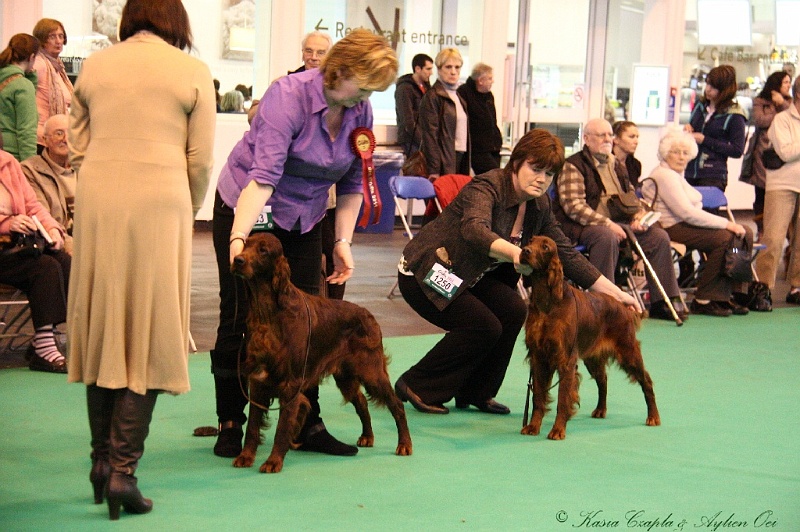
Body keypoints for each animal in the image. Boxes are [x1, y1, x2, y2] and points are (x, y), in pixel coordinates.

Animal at [228, 233, 410, 474]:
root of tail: (369, 314)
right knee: (361, 400)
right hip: (345, 375)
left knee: (396, 404)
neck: (267, 314)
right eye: (245, 244)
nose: (237, 260)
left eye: (263, 250)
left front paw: (273, 461)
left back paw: (405, 444)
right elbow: (252, 427)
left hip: (371, 371)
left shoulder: (291, 386)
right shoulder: (257, 382)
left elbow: (282, 428)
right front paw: (246, 456)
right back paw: (367, 436)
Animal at [516, 237, 660, 440]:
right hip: (593, 358)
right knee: (603, 379)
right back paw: (601, 410)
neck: (547, 303)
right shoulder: (538, 358)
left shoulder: (565, 360)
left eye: (545, 247)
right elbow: (538, 397)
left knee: (646, 381)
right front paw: (533, 426)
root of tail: (624, 307)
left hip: (628, 352)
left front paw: (558, 430)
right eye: (530, 240)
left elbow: (562, 399)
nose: (525, 250)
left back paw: (653, 416)